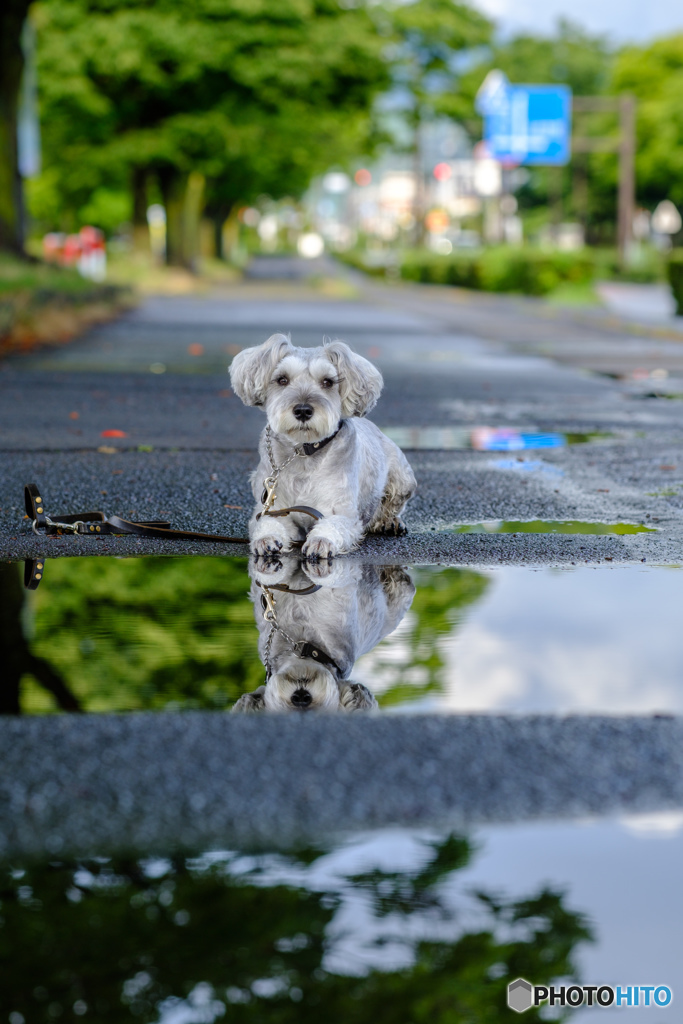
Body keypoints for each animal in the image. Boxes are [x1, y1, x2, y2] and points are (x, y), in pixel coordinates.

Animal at [228, 335, 417, 561]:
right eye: (282, 379)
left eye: (328, 382)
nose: (303, 410)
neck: (302, 452)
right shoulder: (272, 509)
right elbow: (266, 522)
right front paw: (266, 538)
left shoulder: (342, 512)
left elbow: (334, 525)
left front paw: (321, 540)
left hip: (403, 479)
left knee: (389, 506)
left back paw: (390, 521)